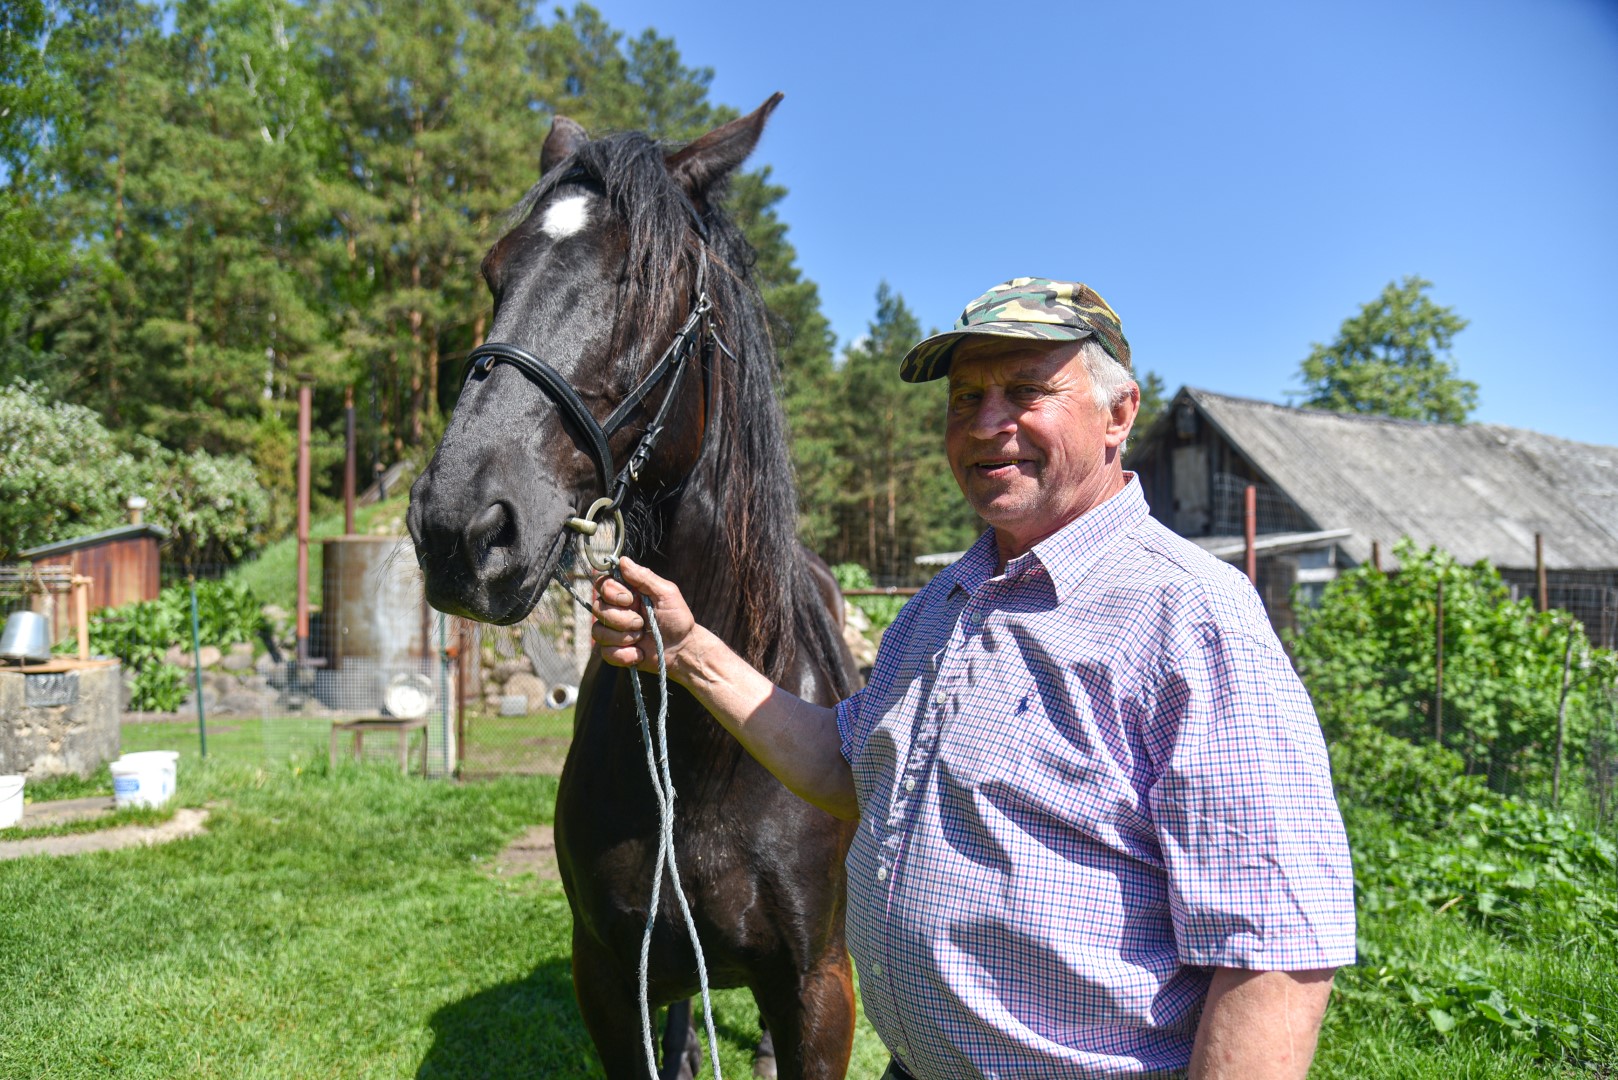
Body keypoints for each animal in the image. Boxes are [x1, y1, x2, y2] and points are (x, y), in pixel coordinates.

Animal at [407, 95, 860, 1080]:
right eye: (495, 274)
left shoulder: (819, 992)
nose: (458, 529)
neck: (706, 752)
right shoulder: (611, 980)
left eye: (646, 283)